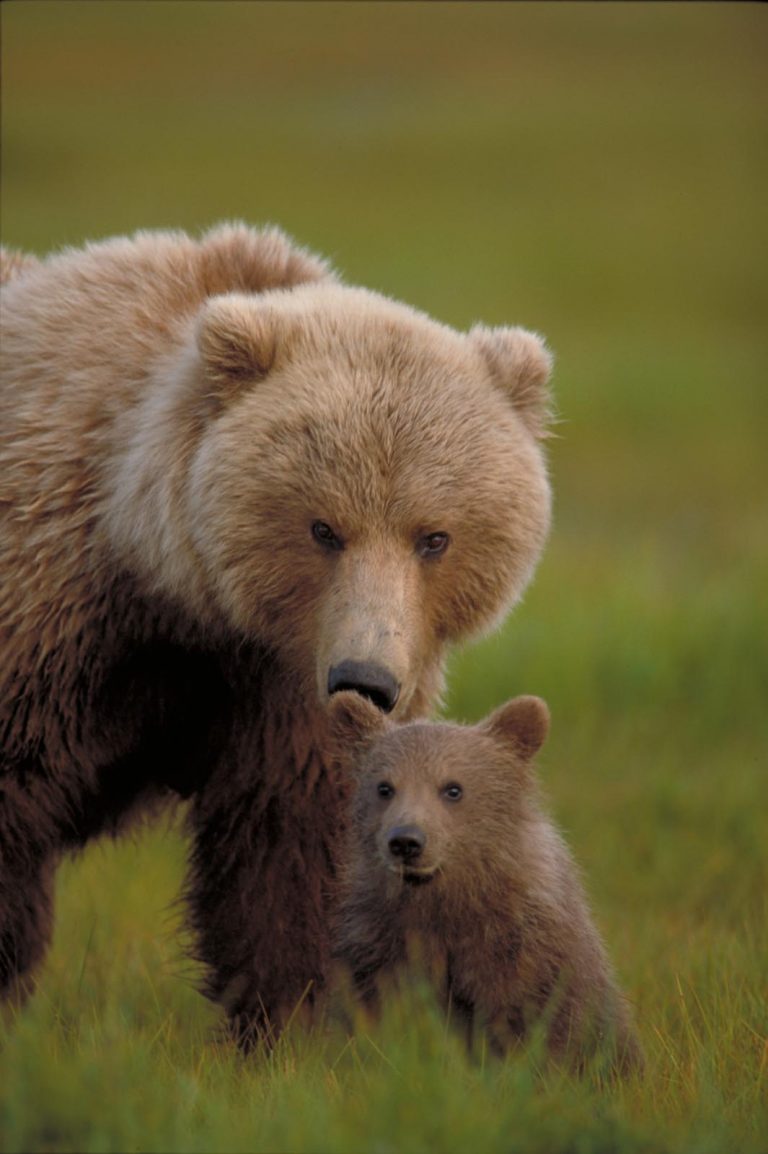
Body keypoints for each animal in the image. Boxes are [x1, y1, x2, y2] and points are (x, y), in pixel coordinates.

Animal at [0, 222, 553, 1044]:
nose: (367, 678)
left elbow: (292, 850)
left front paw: (286, 1025)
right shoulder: (55, 616)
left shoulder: (284, 695)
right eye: (324, 527)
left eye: (434, 537)